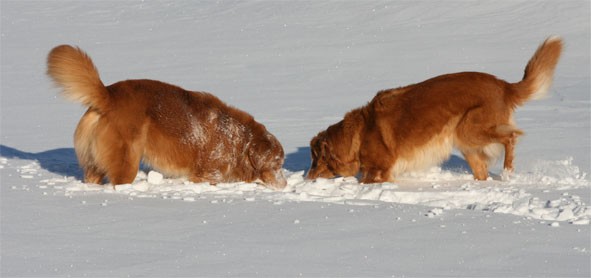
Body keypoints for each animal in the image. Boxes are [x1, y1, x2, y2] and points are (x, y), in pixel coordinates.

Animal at [46, 45, 286, 189]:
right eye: (276, 163)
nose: (284, 184)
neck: (241, 141)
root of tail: (108, 94)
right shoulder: (207, 175)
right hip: (126, 160)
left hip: (94, 164)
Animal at [310, 37, 564, 185]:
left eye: (315, 159)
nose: (306, 177)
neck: (360, 134)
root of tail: (503, 85)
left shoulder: (380, 170)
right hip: (466, 143)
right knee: (482, 170)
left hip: (468, 129)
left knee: (511, 137)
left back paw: (508, 171)